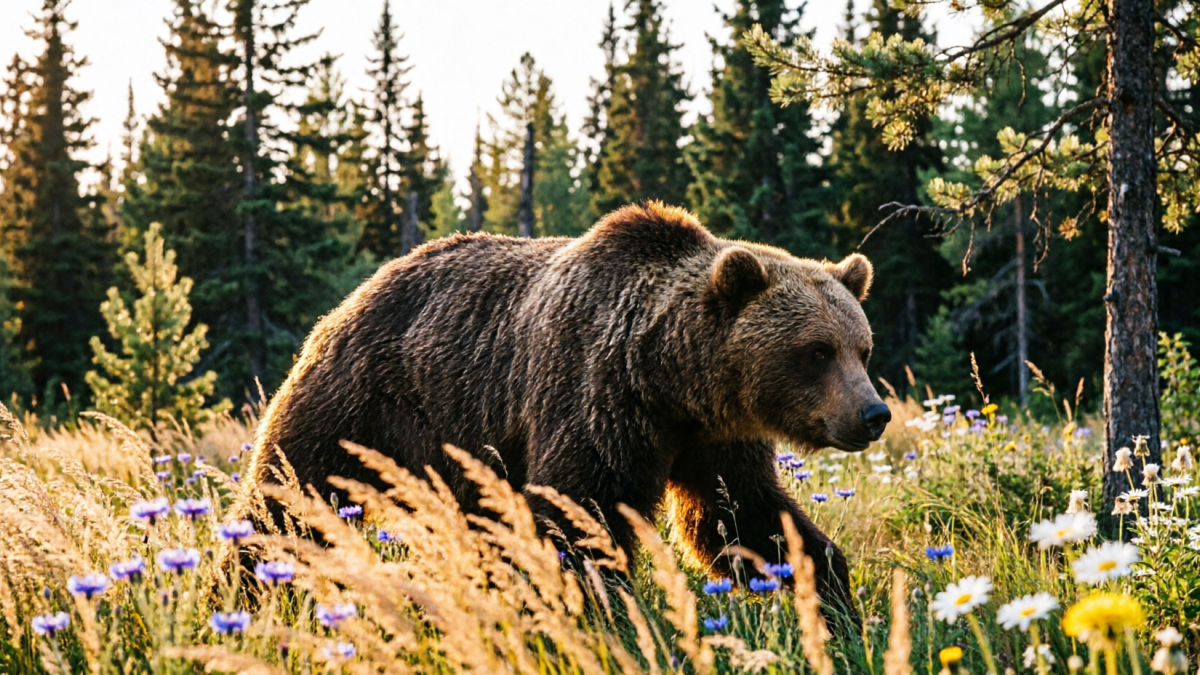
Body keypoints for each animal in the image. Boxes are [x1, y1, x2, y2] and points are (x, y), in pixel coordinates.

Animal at [244, 201, 890, 615]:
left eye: (862, 347)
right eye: (817, 350)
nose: (873, 414)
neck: (668, 379)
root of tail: (357, 293)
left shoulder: (713, 438)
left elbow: (740, 516)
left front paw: (830, 596)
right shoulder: (596, 396)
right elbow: (579, 514)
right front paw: (587, 609)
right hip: (364, 403)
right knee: (289, 497)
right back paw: (252, 582)